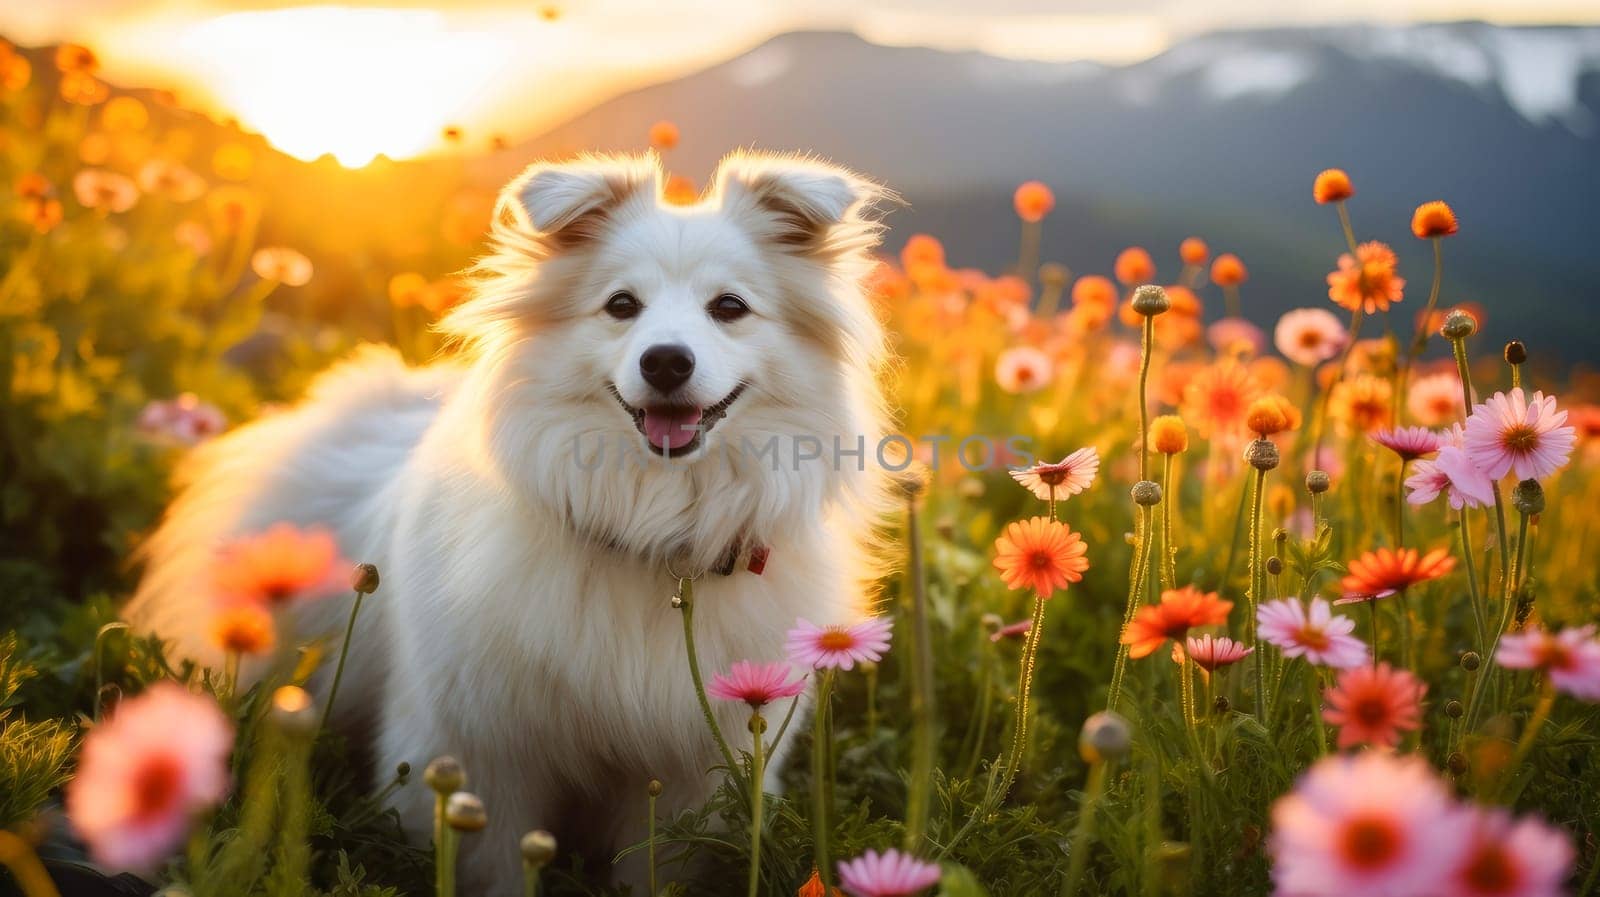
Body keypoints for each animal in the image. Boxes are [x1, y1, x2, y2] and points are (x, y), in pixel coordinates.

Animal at [121, 150, 902, 889]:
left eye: (730, 307)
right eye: (622, 304)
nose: (665, 361)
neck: (655, 528)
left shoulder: (689, 772)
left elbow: (655, 870)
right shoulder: (480, 753)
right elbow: (492, 867)